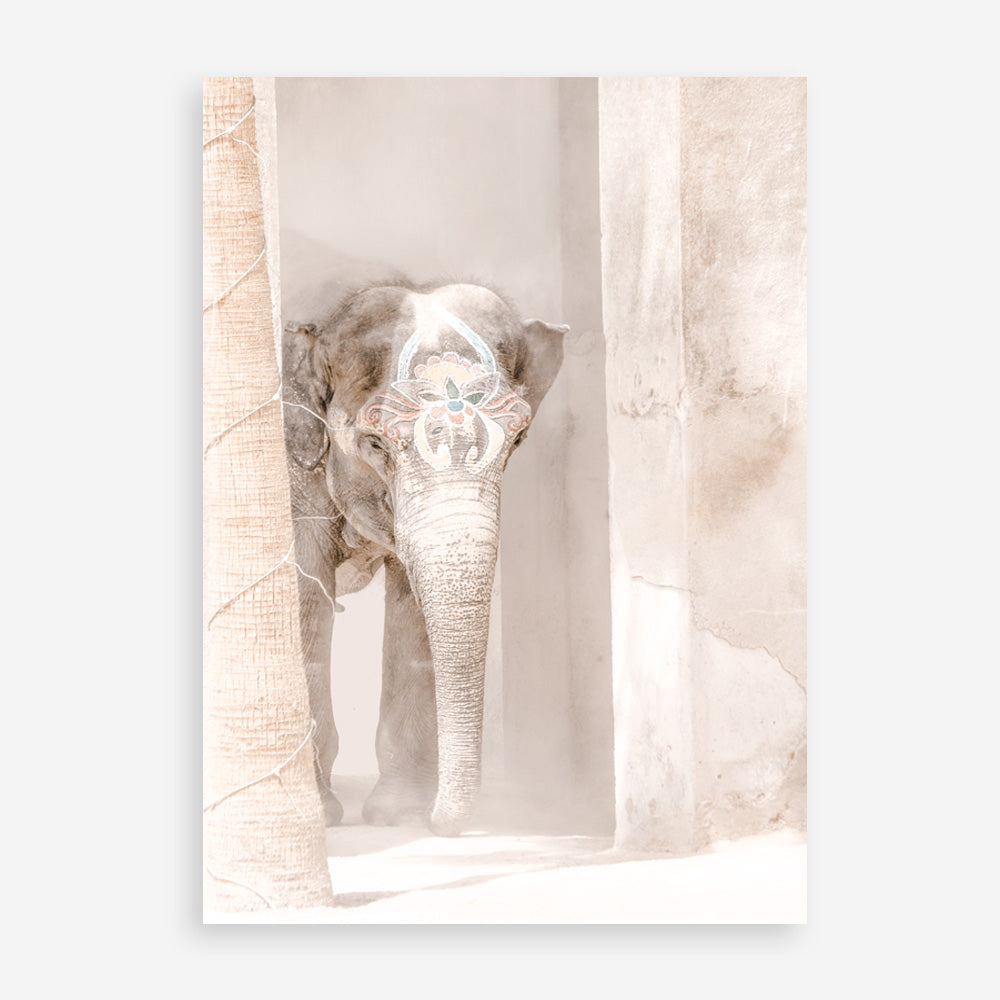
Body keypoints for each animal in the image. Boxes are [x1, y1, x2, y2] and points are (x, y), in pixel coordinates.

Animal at [281, 280, 567, 836]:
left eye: (518, 438)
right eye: (374, 443)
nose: (441, 826)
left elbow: (411, 604)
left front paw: (400, 815)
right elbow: (305, 594)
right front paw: (322, 818)